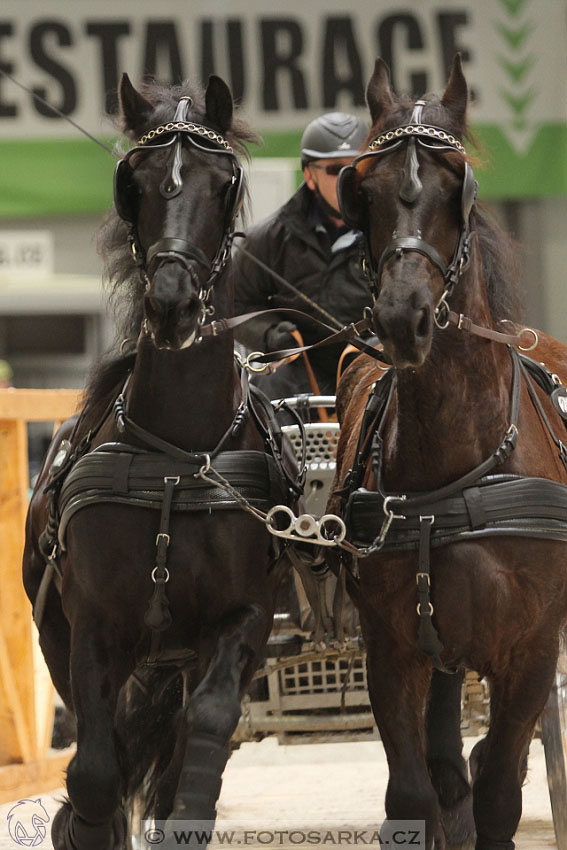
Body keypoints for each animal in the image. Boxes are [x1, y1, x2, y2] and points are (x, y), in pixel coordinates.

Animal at [23, 71, 298, 848]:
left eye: (223, 183)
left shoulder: (243, 620)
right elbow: (95, 773)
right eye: (135, 180)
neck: (179, 457)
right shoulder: (91, 624)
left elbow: (199, 747)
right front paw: (80, 822)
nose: (172, 302)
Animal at [330, 56, 567, 844]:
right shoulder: (390, 650)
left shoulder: (530, 654)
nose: (403, 318)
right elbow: (412, 794)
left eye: (454, 184)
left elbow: (499, 791)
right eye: (364, 189)